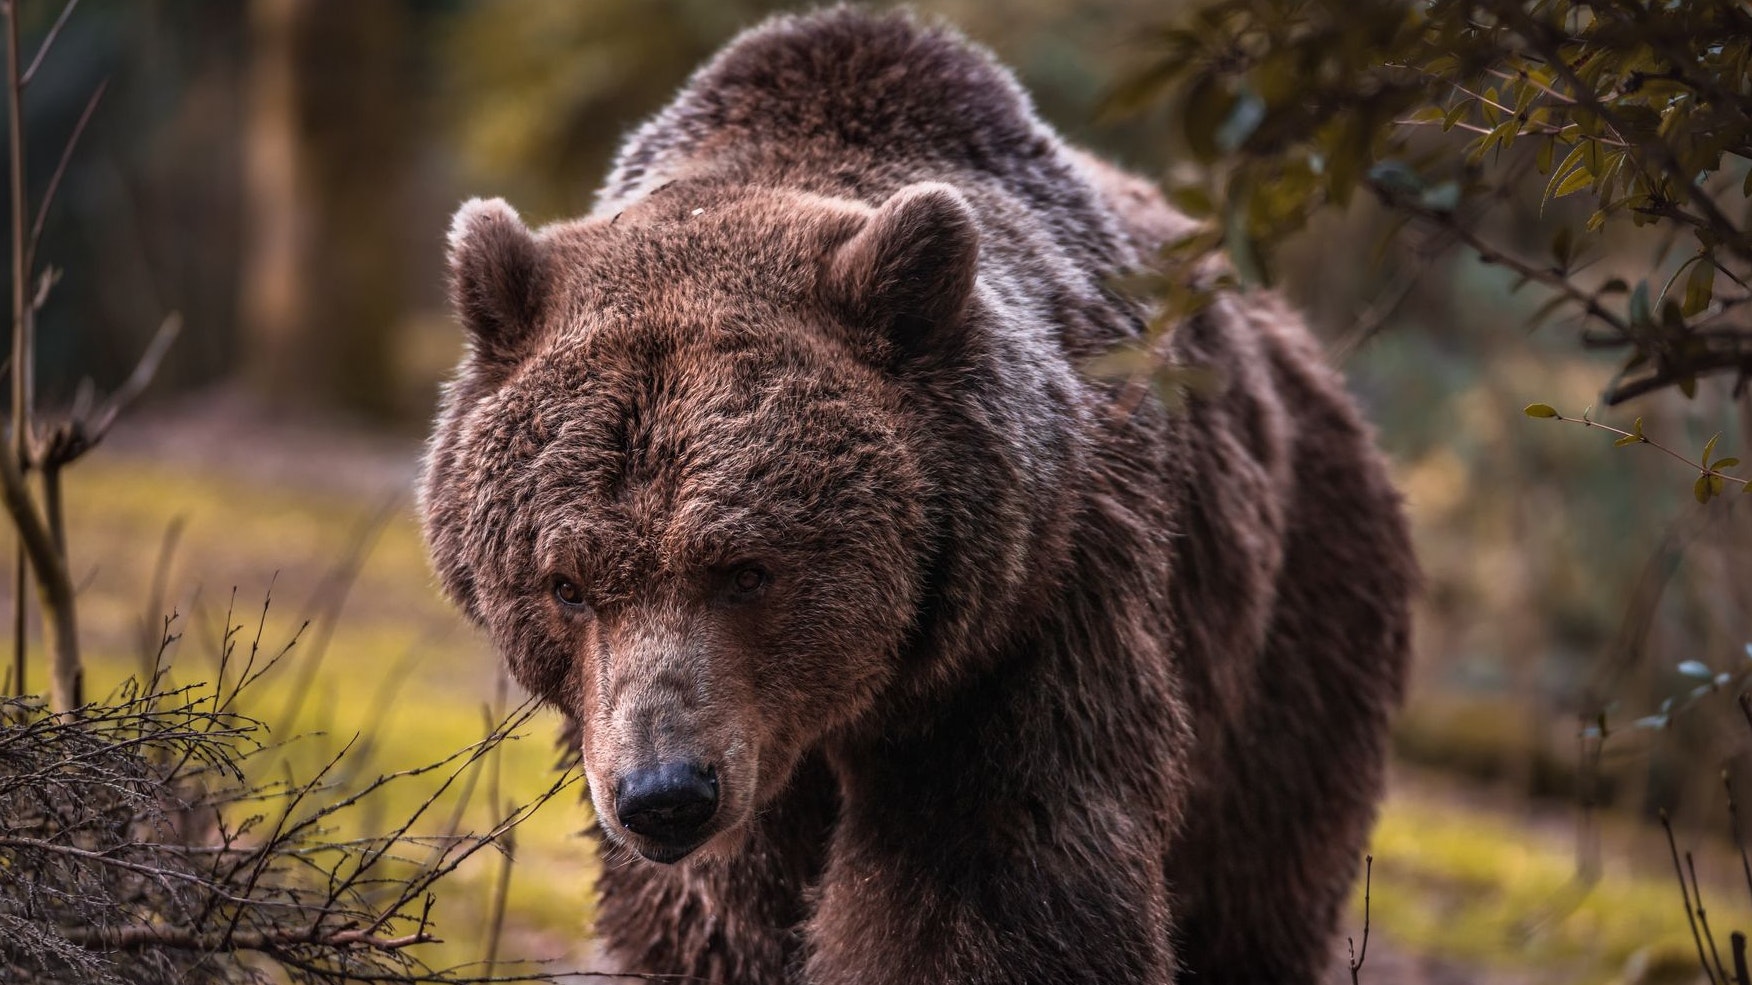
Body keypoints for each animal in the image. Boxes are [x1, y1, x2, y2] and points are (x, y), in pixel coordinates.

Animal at [418, 8, 1415, 984]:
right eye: (567, 584)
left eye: (746, 568)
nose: (665, 795)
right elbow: (709, 921)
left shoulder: (1027, 622)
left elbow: (996, 885)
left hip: (1292, 637)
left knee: (1254, 889)